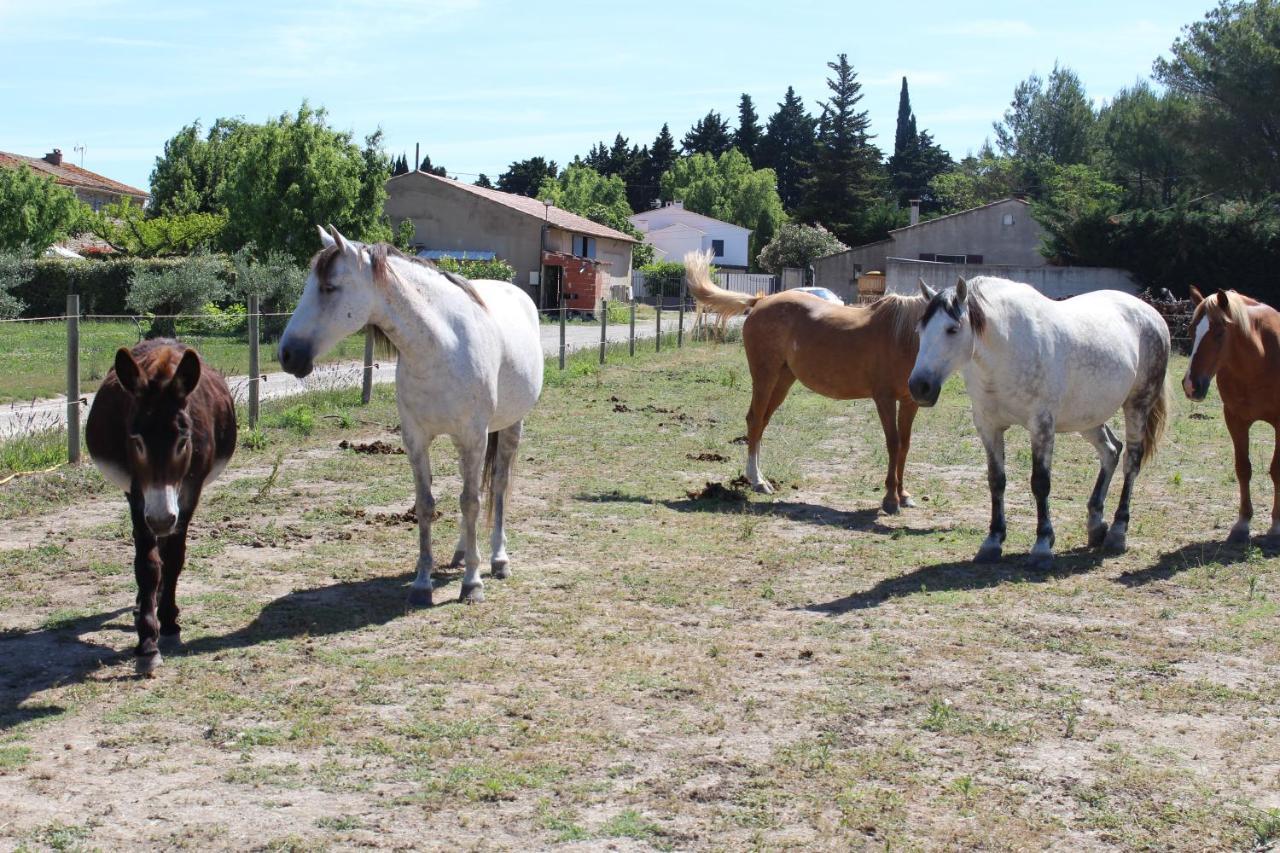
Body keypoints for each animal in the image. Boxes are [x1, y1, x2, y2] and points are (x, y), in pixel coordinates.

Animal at [86, 338, 236, 671]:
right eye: (136, 439)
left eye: (183, 439)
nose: (160, 520)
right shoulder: (137, 491)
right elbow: (147, 564)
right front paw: (147, 642)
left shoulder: (190, 491)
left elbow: (175, 558)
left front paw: (168, 623)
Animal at [277, 222, 542, 601]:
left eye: (329, 287)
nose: (287, 355)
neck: (440, 346)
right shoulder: (416, 439)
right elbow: (427, 504)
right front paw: (421, 582)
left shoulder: (472, 437)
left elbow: (472, 501)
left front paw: (472, 584)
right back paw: (462, 551)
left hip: (509, 426)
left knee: (498, 487)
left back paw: (497, 559)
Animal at [686, 247, 926, 512]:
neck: (902, 336)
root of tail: (760, 302)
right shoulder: (884, 399)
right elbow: (893, 443)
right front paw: (891, 499)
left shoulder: (909, 402)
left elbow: (904, 444)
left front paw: (903, 494)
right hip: (765, 376)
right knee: (755, 420)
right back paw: (757, 481)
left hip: (782, 380)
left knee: (762, 422)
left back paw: (759, 478)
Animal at [906, 274, 1167, 563]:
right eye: (920, 330)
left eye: (952, 329)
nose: (919, 387)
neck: (1007, 348)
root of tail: (1152, 314)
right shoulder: (988, 426)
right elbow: (996, 480)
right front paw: (993, 540)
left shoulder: (1041, 426)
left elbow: (1040, 482)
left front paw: (1042, 545)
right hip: (1087, 417)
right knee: (1111, 451)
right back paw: (1096, 525)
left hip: (1137, 405)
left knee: (1131, 462)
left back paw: (1118, 532)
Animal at [1177, 285, 1280, 537]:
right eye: (1192, 330)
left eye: (1220, 333)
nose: (1191, 385)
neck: (1260, 359)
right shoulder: (1235, 420)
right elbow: (1243, 468)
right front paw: (1243, 522)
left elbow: (1276, 470)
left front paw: (1276, 524)